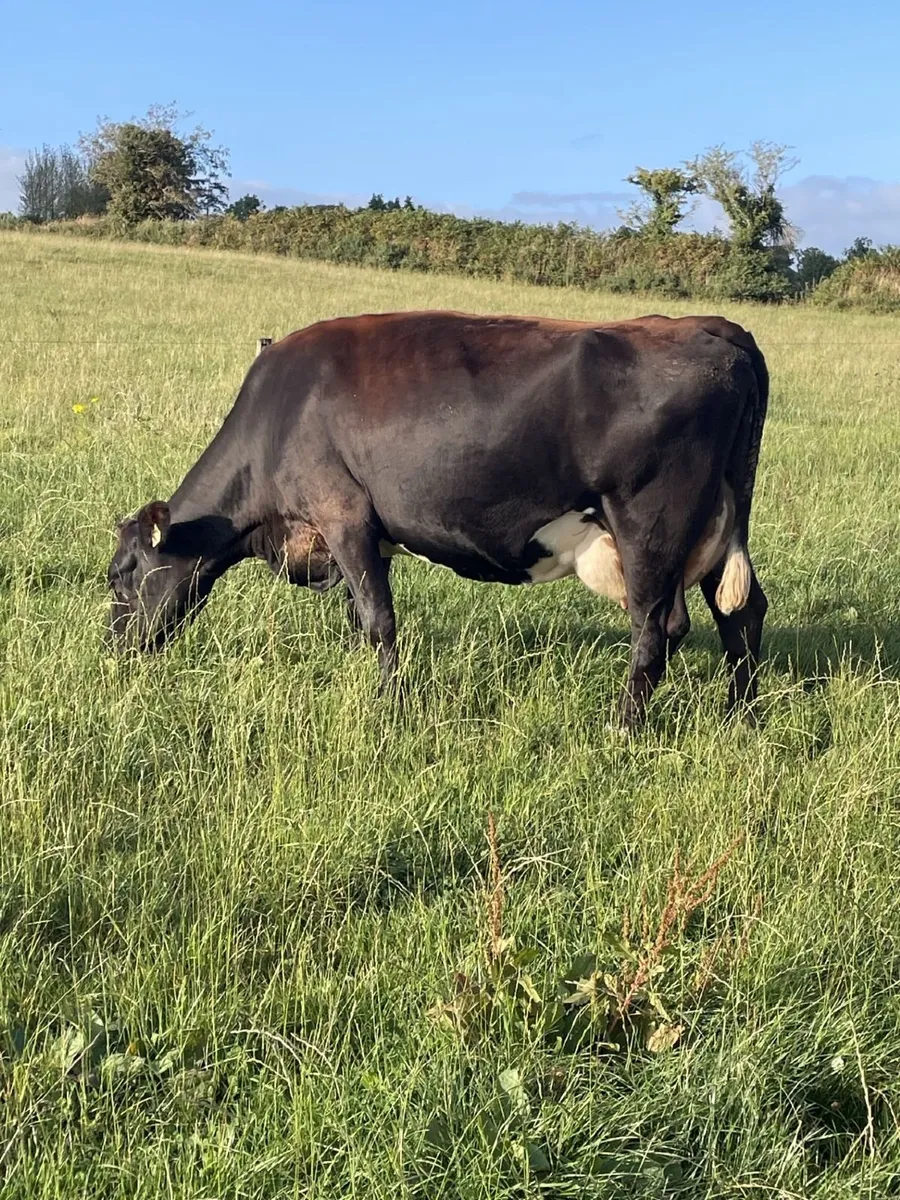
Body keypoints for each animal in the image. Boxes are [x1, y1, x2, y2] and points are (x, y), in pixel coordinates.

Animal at [107, 310, 769, 731]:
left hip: (650, 523)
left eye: (122, 574)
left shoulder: (344, 515)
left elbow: (379, 620)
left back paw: (623, 730)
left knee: (656, 629)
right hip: (714, 521)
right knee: (741, 612)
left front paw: (389, 708)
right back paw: (742, 717)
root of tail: (715, 328)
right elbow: (358, 616)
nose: (113, 653)